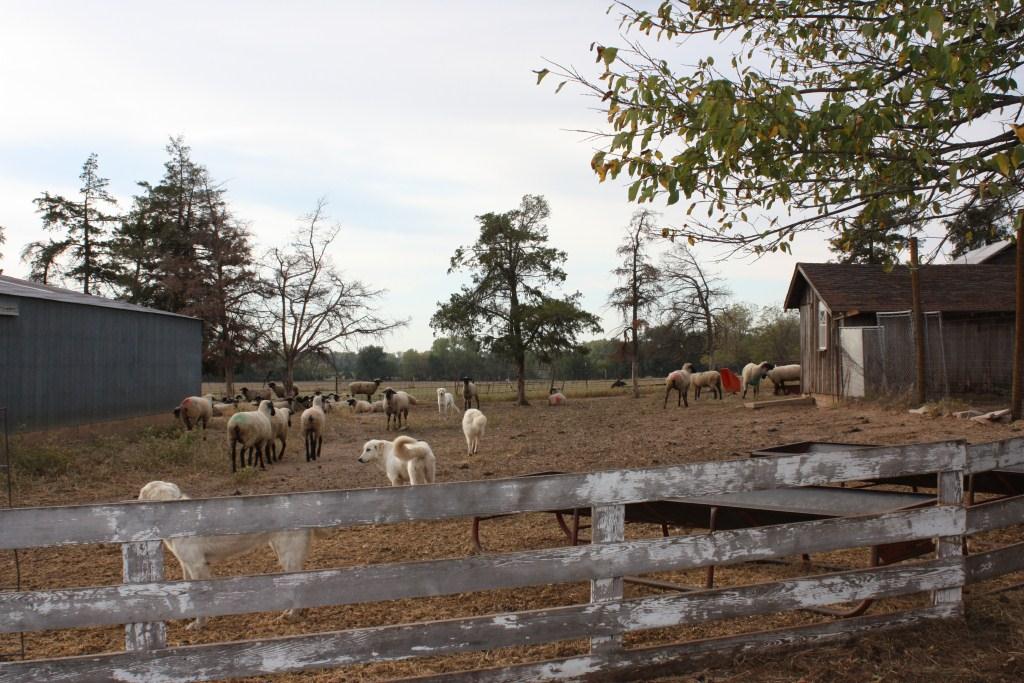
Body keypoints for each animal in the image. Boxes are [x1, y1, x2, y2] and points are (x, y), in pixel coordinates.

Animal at [138, 481, 325, 629]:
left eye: (141, 494)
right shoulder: (187, 565)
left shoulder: (197, 566)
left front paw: (199, 623)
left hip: (288, 557)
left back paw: (292, 615)